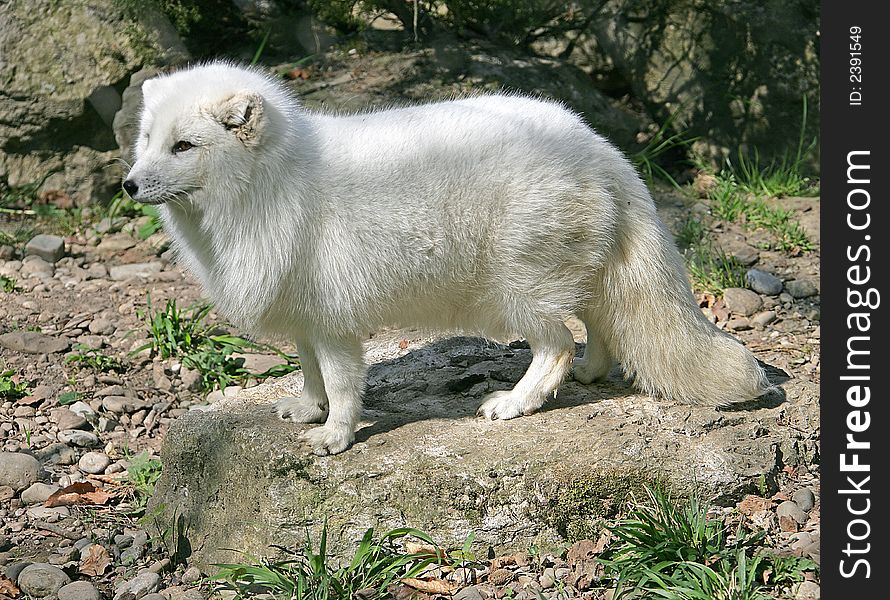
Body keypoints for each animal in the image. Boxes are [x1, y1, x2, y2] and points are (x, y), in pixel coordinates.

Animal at [123, 62, 772, 454]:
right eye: (148, 140)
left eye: (184, 146)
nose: (128, 185)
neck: (274, 184)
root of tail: (600, 146)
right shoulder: (306, 315)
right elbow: (310, 373)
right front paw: (309, 410)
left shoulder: (334, 320)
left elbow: (342, 382)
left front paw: (336, 435)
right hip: (571, 273)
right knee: (596, 323)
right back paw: (592, 372)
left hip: (518, 289)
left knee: (557, 343)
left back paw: (517, 402)